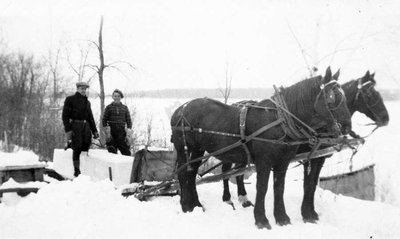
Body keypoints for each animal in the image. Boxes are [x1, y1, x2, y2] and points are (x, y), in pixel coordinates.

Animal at [170, 67, 352, 228]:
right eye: (331, 98)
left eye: (344, 97)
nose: (346, 127)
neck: (280, 120)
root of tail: (180, 109)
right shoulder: (264, 161)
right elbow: (263, 188)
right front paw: (262, 220)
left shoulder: (283, 162)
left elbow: (280, 187)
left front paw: (282, 218)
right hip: (184, 148)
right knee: (184, 174)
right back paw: (187, 206)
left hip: (198, 150)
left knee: (192, 174)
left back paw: (196, 204)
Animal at [302, 70, 390, 223]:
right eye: (369, 93)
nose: (386, 118)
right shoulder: (313, 157)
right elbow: (309, 183)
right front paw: (307, 214)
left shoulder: (319, 157)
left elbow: (311, 183)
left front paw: (310, 212)